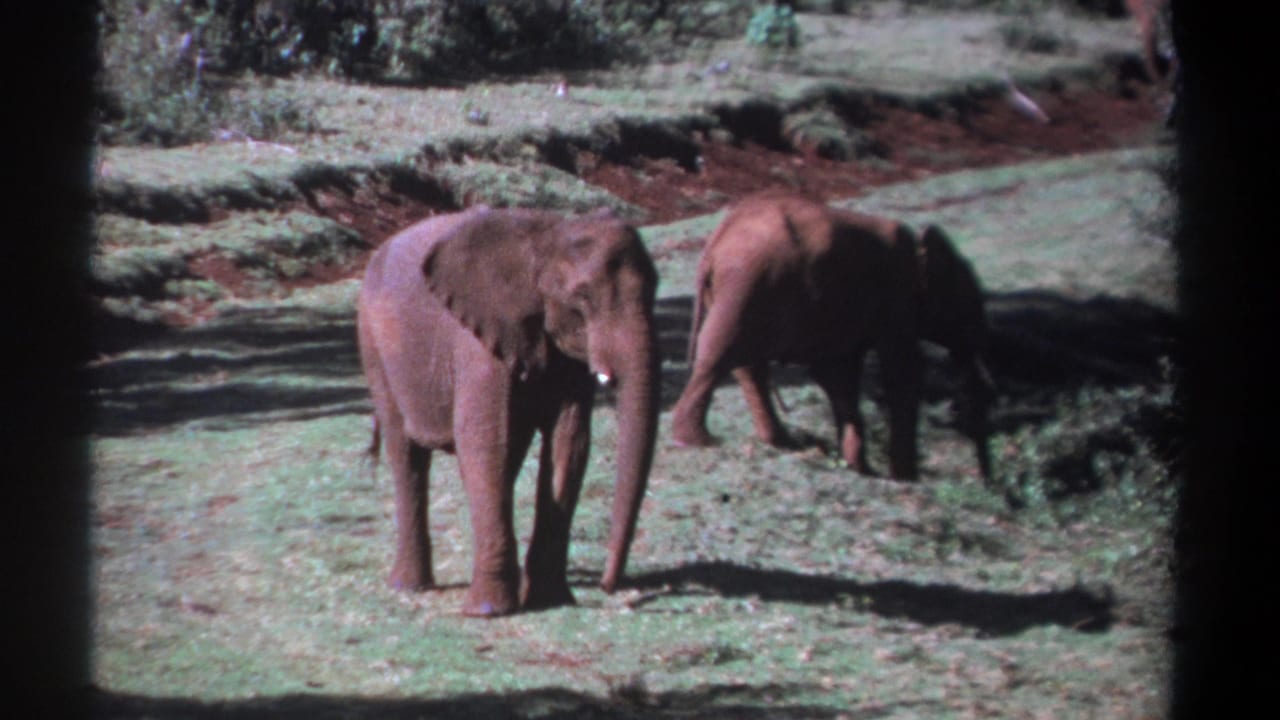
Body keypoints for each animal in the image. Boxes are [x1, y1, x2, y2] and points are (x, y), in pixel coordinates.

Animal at [357, 205, 660, 617]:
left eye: (656, 288)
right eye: (581, 298)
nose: (608, 586)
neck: (549, 234)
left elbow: (570, 441)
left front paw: (551, 600)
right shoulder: (475, 340)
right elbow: (484, 438)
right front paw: (488, 612)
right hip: (373, 346)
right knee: (407, 455)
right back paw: (410, 587)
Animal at [669, 191, 994, 481]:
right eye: (968, 304)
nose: (986, 481)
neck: (919, 248)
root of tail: (716, 244)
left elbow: (838, 377)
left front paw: (859, 468)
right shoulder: (895, 297)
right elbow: (901, 373)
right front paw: (903, 478)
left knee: (745, 365)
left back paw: (781, 443)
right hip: (746, 285)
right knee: (720, 354)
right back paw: (699, 440)